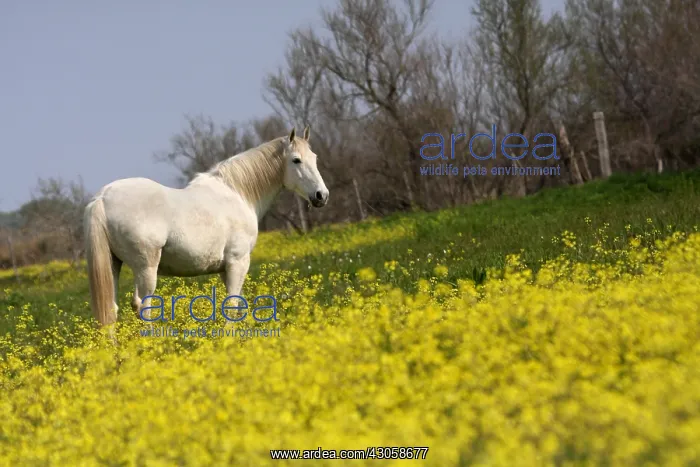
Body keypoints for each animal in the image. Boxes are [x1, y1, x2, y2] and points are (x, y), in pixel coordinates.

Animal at [83, 126, 328, 328]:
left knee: (110, 311)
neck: (237, 193)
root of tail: (103, 198)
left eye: (314, 158)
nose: (321, 196)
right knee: (144, 307)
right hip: (146, 268)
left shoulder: (225, 269)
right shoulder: (238, 262)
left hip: (114, 264)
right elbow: (232, 305)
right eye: (296, 160)